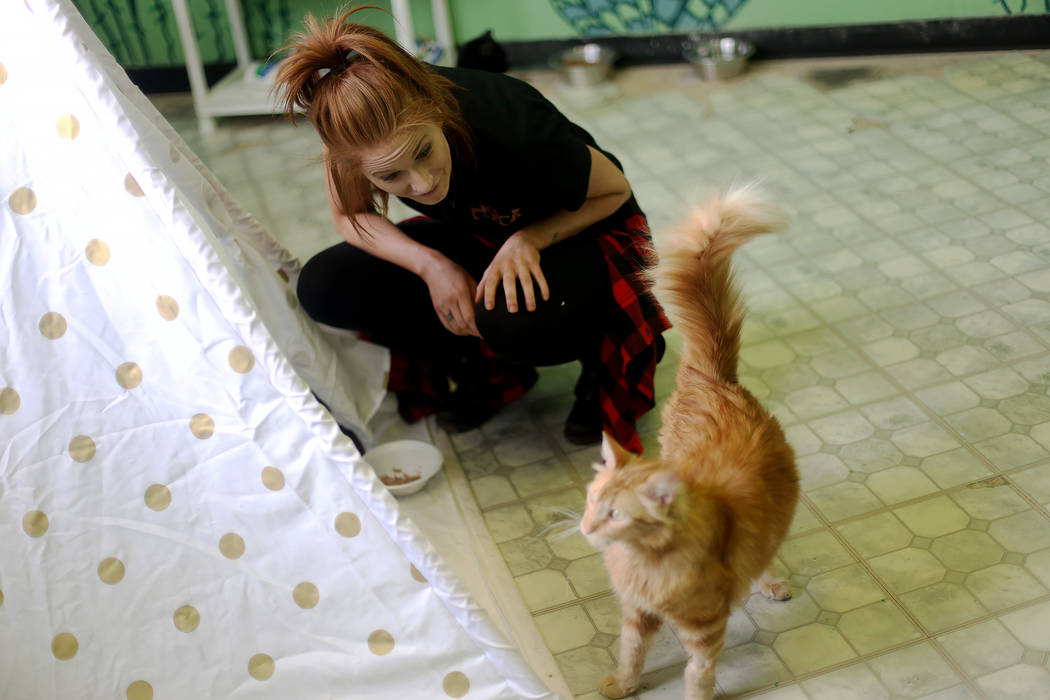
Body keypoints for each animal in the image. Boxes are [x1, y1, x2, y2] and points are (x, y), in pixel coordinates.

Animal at [583, 187, 793, 700]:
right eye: (592, 502)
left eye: (616, 514)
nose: (587, 526)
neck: (645, 564)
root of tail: (716, 380)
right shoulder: (635, 612)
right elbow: (631, 652)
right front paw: (622, 684)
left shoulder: (706, 625)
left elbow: (698, 672)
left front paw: (697, 693)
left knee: (765, 555)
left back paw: (771, 583)